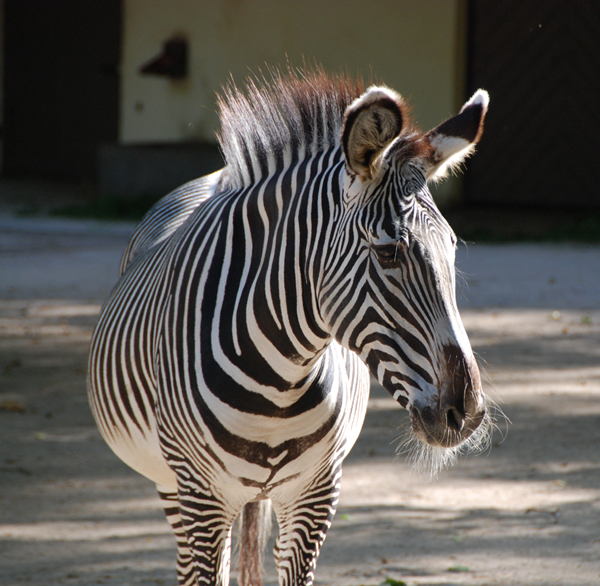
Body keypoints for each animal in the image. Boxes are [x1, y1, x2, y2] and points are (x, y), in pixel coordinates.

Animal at [90, 69, 492, 584]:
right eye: (388, 252)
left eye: (453, 247)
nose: (467, 412)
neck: (277, 388)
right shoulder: (201, 495)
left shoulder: (315, 495)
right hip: (171, 485)